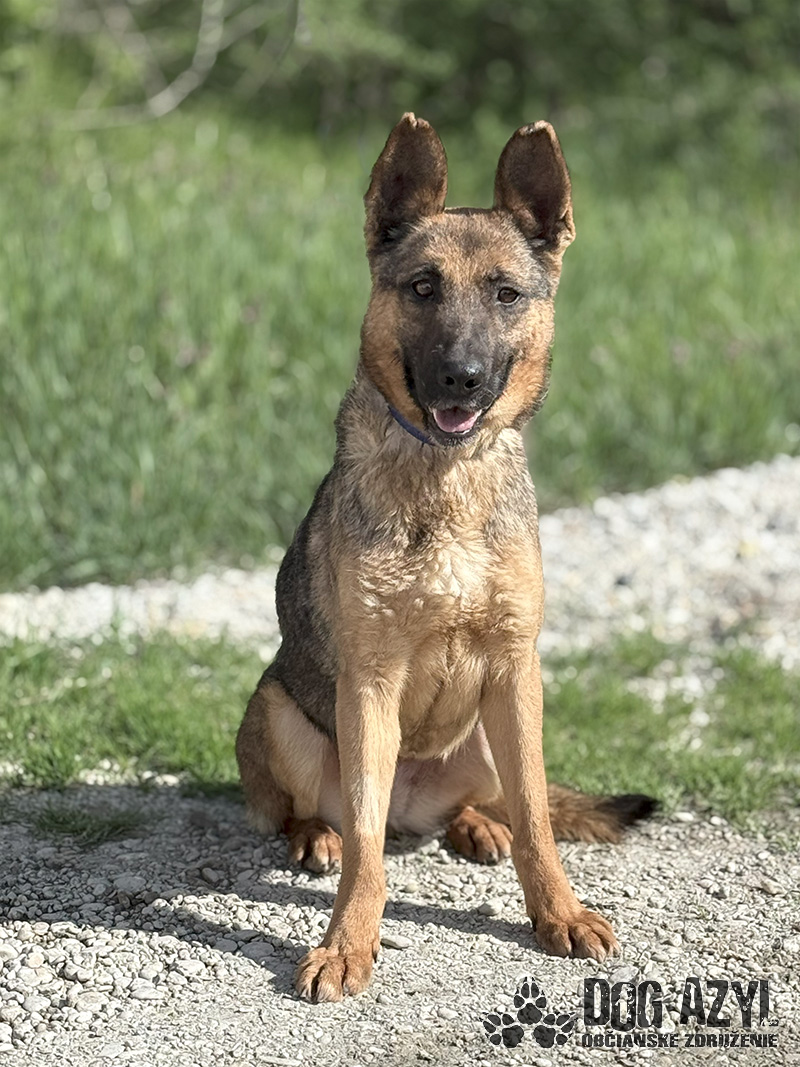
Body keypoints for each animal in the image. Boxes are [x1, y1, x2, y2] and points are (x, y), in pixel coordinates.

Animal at [236, 114, 656, 1002]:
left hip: (494, 727)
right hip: (280, 710)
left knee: (499, 803)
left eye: (505, 293)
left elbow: (536, 818)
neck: (446, 476)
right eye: (423, 287)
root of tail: (417, 802)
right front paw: (347, 944)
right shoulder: (370, 683)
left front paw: (558, 912)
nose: (461, 376)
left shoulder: (515, 667)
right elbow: (365, 848)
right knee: (318, 814)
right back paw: (314, 835)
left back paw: (473, 825)